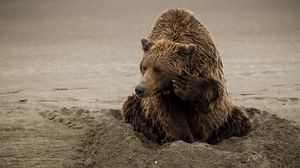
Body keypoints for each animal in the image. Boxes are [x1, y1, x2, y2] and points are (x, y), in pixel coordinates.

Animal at [122, 8, 251, 144]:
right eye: (144, 67)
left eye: (159, 70)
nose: (140, 89)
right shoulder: (162, 96)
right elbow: (170, 115)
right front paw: (185, 138)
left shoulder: (207, 64)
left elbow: (212, 93)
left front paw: (185, 85)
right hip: (142, 108)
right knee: (131, 107)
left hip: (225, 116)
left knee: (239, 121)